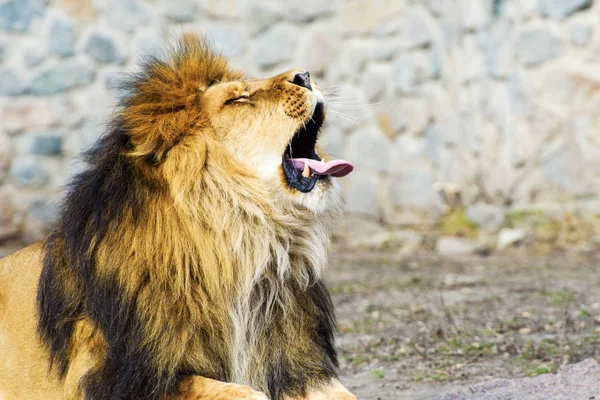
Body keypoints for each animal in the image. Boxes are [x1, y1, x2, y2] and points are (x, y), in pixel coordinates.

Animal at [0, 35, 356, 400]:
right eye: (238, 99)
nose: (305, 75)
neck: (244, 245)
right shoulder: (118, 378)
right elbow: (241, 392)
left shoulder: (299, 367)